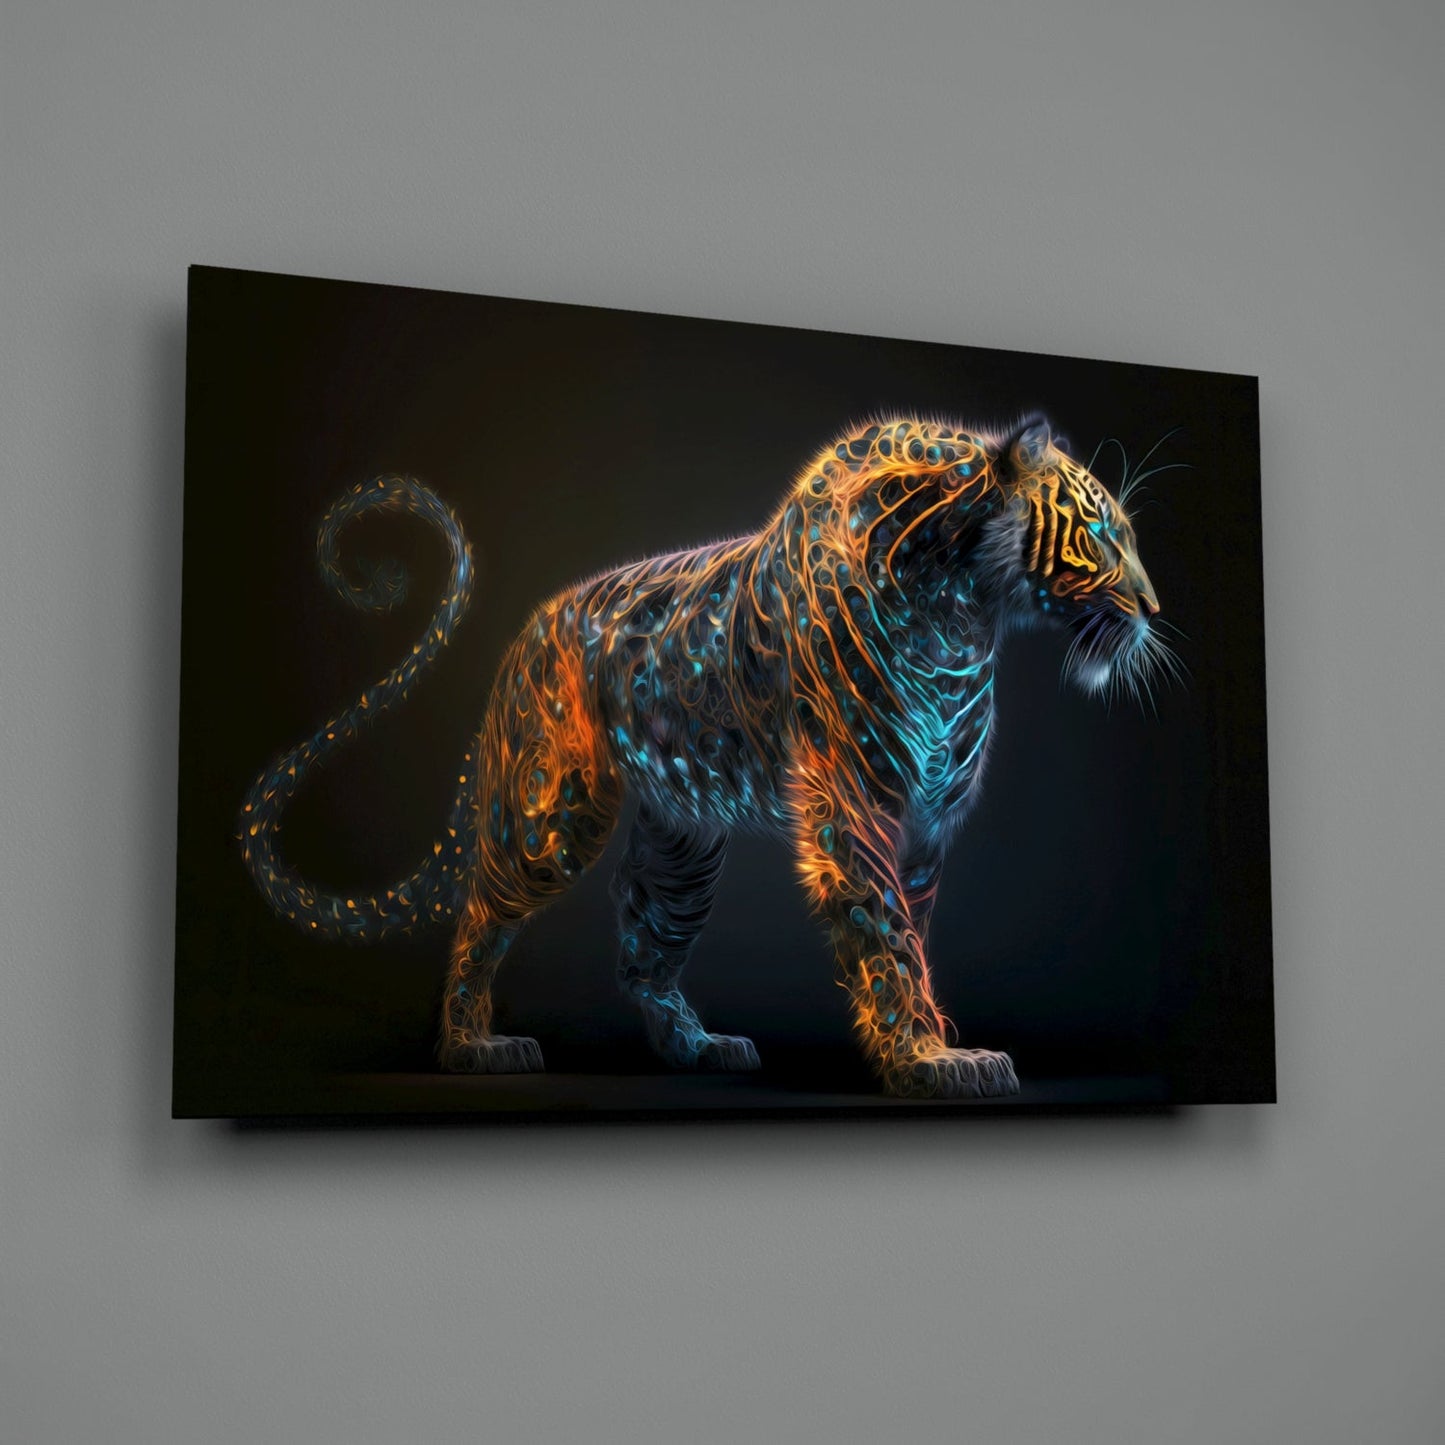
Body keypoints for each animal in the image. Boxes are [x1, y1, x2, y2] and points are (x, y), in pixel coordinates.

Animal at [240, 415, 1174, 1099]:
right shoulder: (856, 799)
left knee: (639, 946)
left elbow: (911, 924)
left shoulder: (926, 816)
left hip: (681, 846)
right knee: (481, 909)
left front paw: (931, 1039)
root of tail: (525, 632)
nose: (1152, 606)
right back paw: (472, 1044)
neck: (965, 610)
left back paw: (700, 1045)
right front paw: (928, 1061)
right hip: (552, 816)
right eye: (1099, 534)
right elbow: (883, 932)